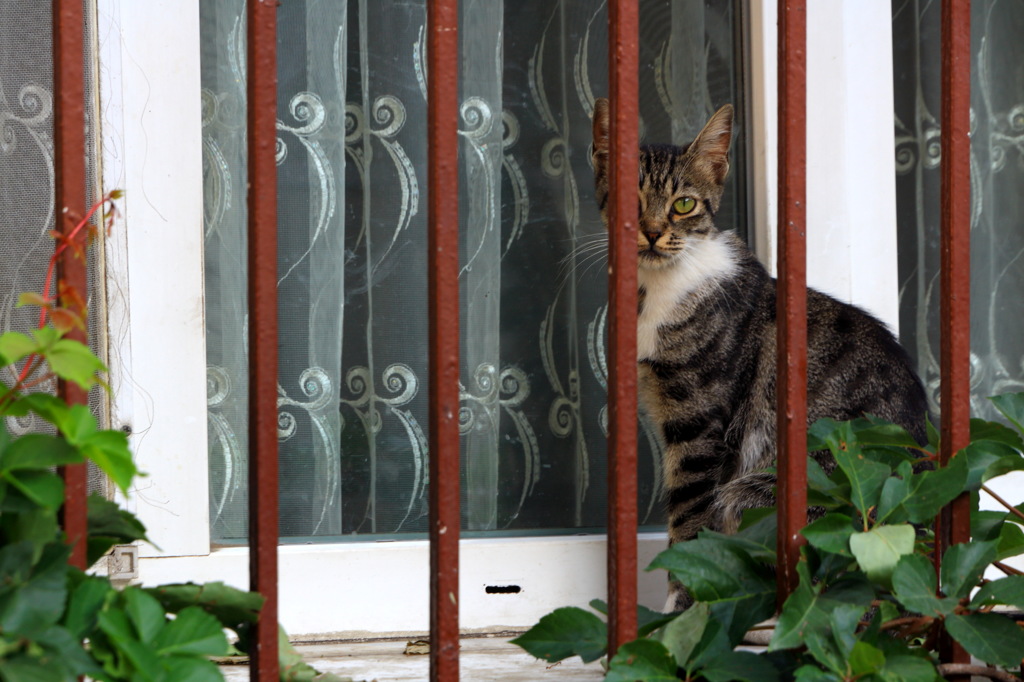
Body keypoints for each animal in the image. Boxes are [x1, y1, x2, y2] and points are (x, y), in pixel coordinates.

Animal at [585, 96, 929, 610]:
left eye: (684, 204)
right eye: (632, 201)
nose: (651, 233)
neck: (657, 290)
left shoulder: (697, 422)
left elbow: (688, 521)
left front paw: (678, 608)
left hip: (760, 491)